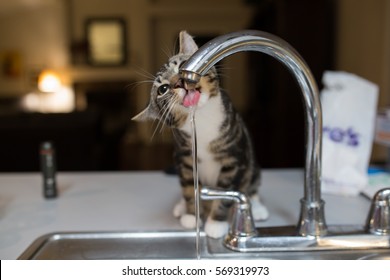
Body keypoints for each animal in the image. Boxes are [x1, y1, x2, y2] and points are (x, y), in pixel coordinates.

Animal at [132, 31, 268, 238]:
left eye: (181, 66)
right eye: (163, 89)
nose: (179, 82)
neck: (202, 120)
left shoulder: (234, 157)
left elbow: (226, 191)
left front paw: (216, 223)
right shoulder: (184, 157)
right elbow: (189, 187)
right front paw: (191, 216)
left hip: (251, 161)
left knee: (251, 183)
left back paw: (258, 207)